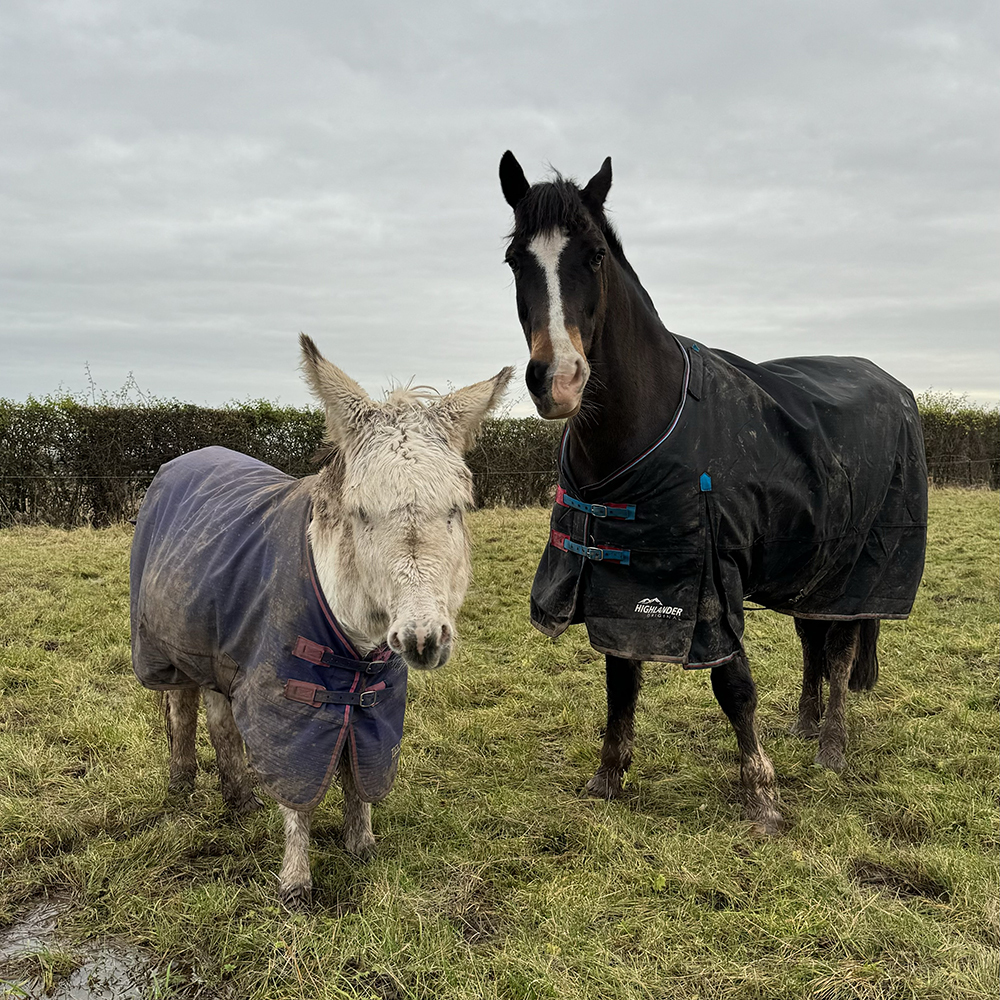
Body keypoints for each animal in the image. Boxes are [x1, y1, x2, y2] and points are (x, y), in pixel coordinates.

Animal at [131, 334, 512, 904]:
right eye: (361, 514)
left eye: (457, 508)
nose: (423, 640)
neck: (356, 645)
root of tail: (188, 458)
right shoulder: (286, 701)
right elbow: (298, 792)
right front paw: (295, 884)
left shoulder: (375, 702)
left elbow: (360, 774)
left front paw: (363, 848)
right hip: (171, 651)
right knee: (182, 712)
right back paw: (181, 792)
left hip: (222, 656)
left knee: (221, 720)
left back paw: (239, 801)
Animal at [498, 151, 927, 834]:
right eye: (516, 259)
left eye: (594, 255)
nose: (557, 380)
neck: (645, 428)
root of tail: (893, 386)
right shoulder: (619, 577)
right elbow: (621, 678)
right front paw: (608, 778)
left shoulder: (708, 581)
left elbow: (734, 685)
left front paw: (763, 797)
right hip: (812, 562)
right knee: (813, 639)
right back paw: (806, 725)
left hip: (861, 565)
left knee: (838, 648)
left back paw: (832, 746)